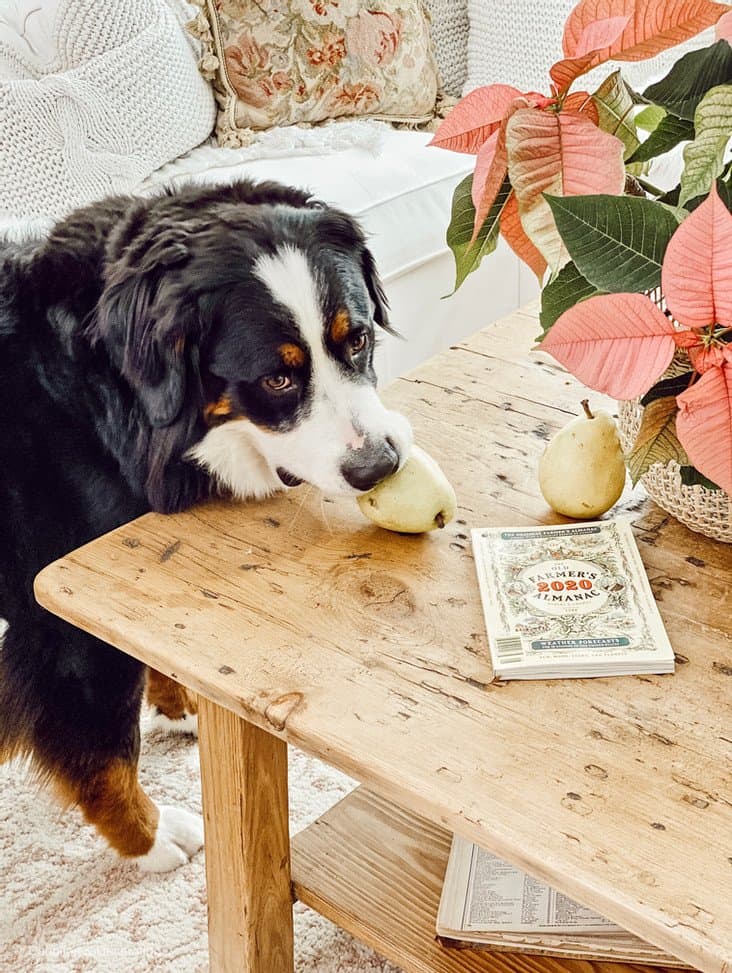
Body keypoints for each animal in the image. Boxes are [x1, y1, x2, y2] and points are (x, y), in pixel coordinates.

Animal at [0, 178, 412, 868]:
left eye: (356, 340)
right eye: (278, 378)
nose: (377, 466)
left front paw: (181, 703)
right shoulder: (60, 624)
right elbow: (105, 749)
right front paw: (150, 838)